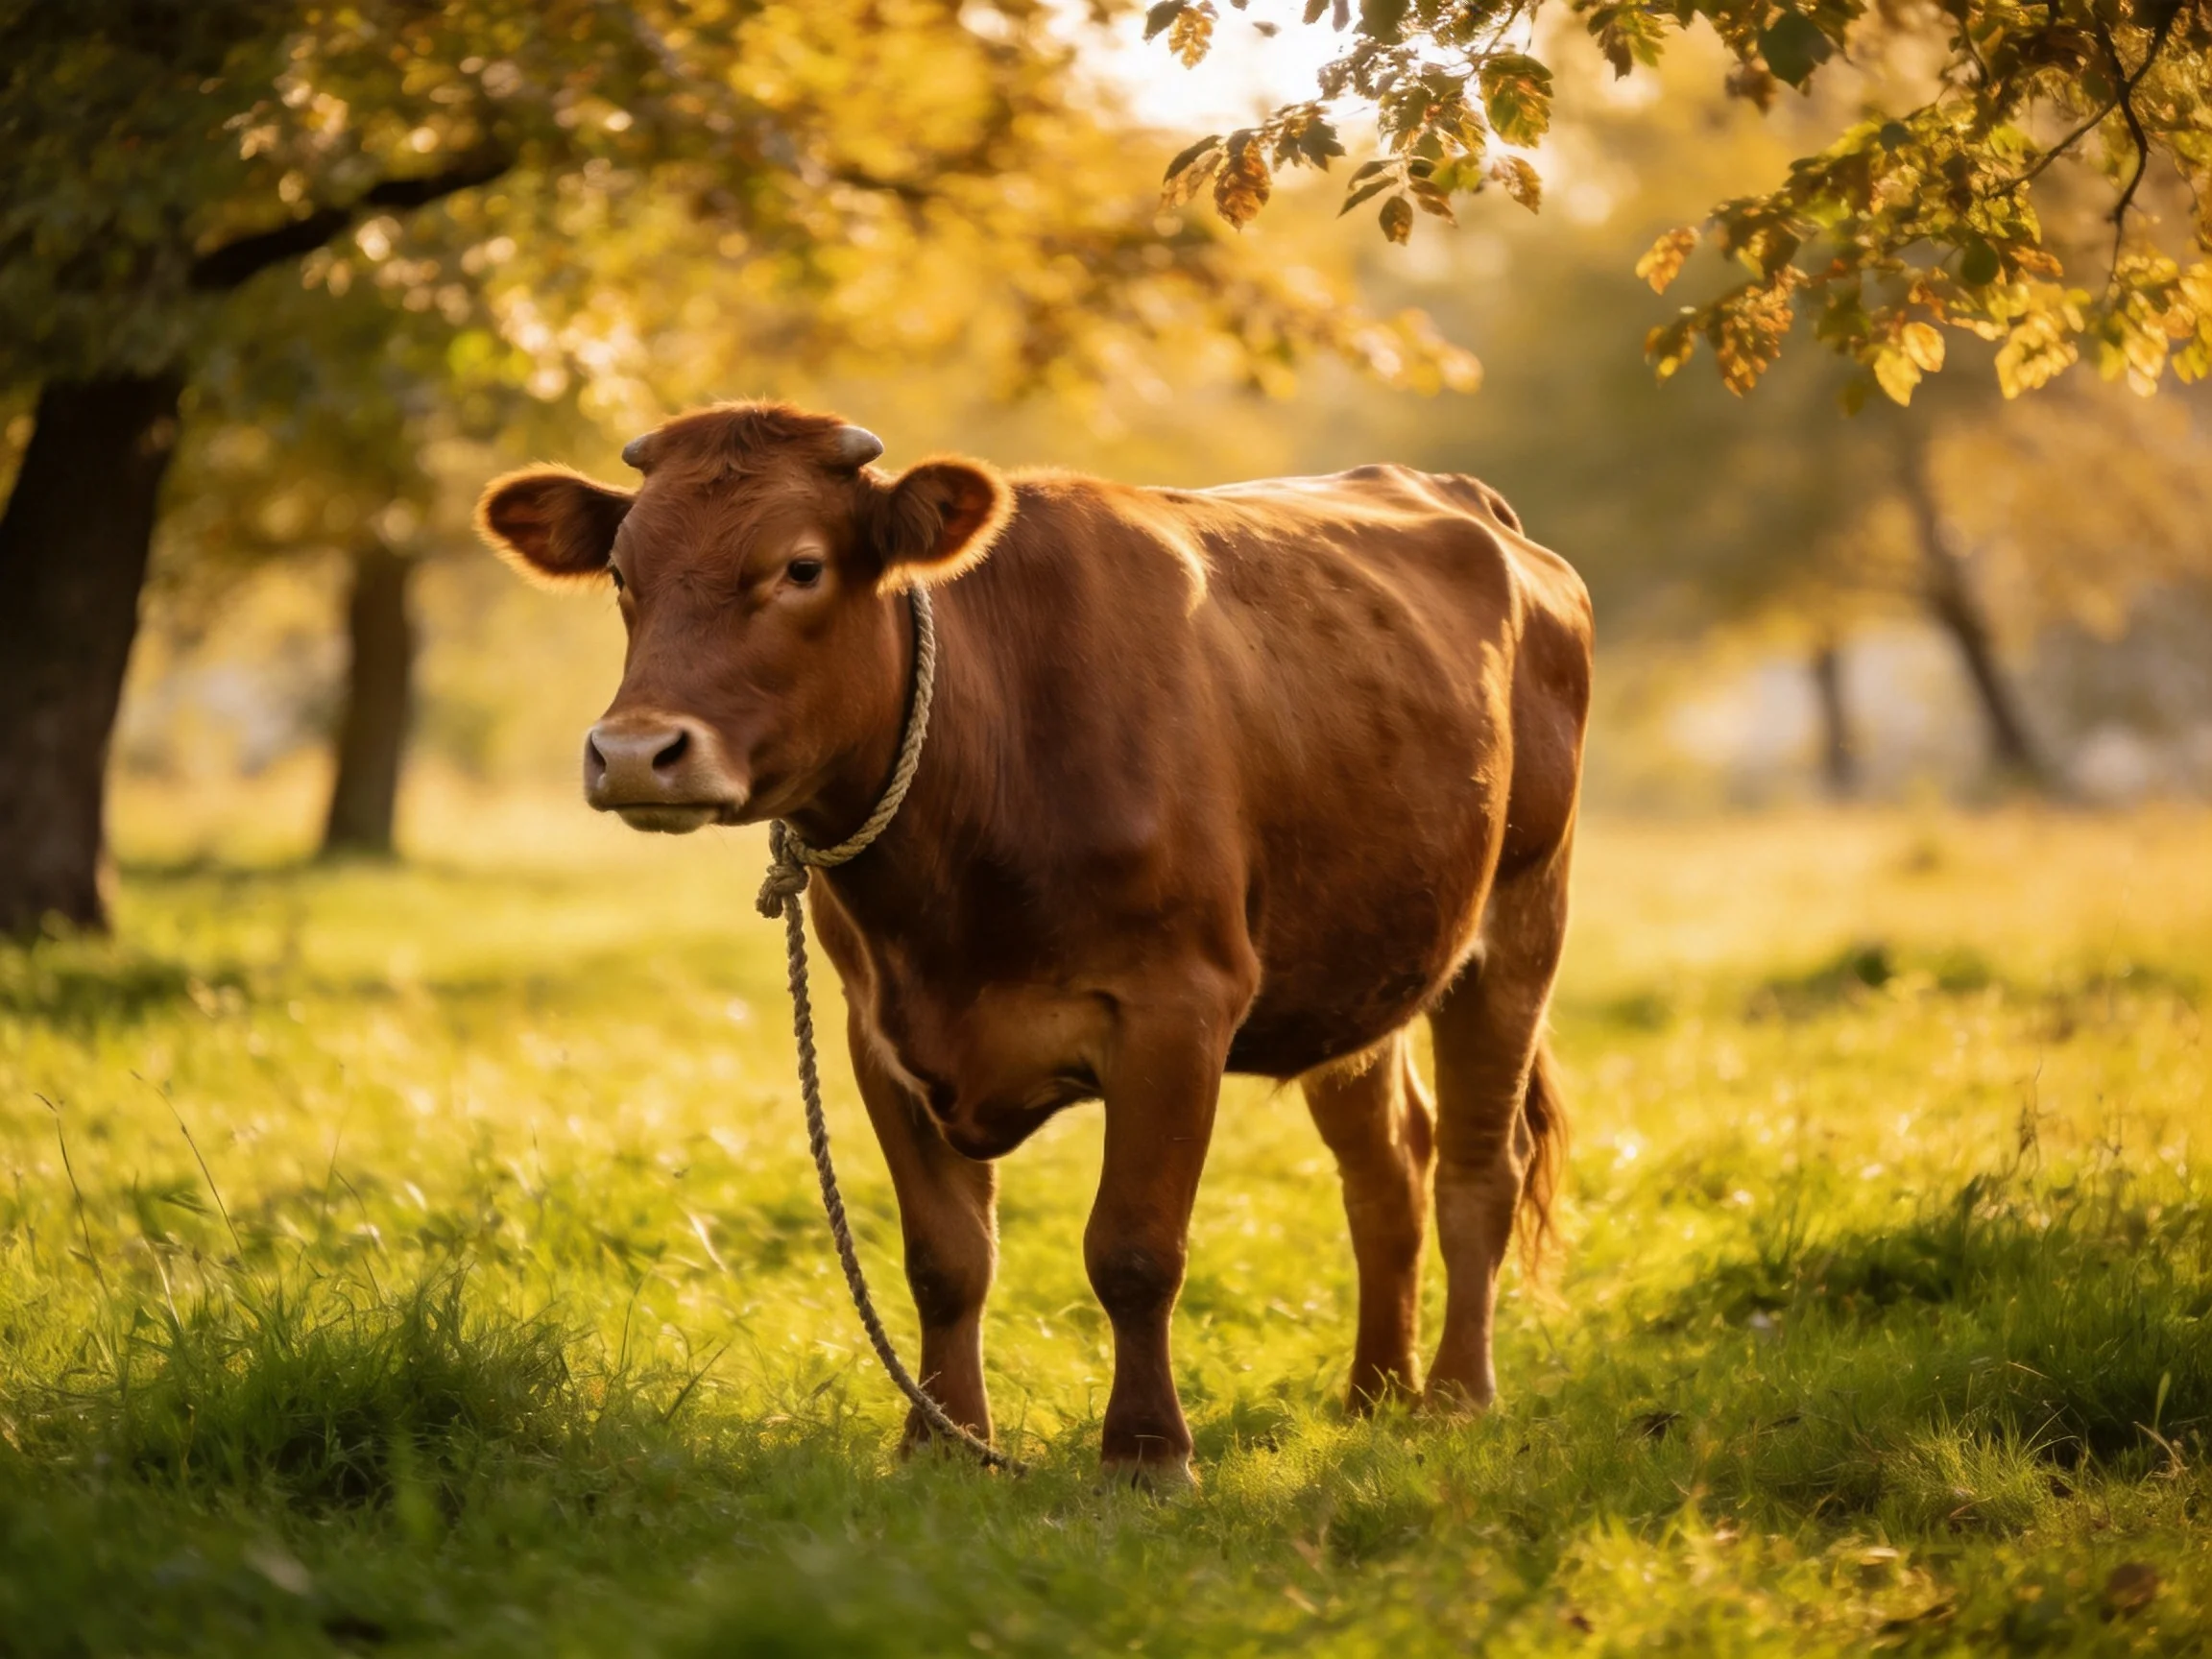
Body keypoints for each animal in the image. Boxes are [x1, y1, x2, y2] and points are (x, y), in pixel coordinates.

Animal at [476, 401, 1593, 1484]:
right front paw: (942, 1444)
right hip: (1359, 969)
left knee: (1478, 1167)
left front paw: (1146, 1455)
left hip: (1521, 924)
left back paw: (1454, 1397)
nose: (635, 753)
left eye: (800, 566)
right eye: (623, 572)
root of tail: (1471, 505)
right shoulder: (879, 1030)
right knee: (1388, 1169)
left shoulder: (1177, 1010)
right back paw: (1372, 1395)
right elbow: (946, 1259)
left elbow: (1135, 1251)